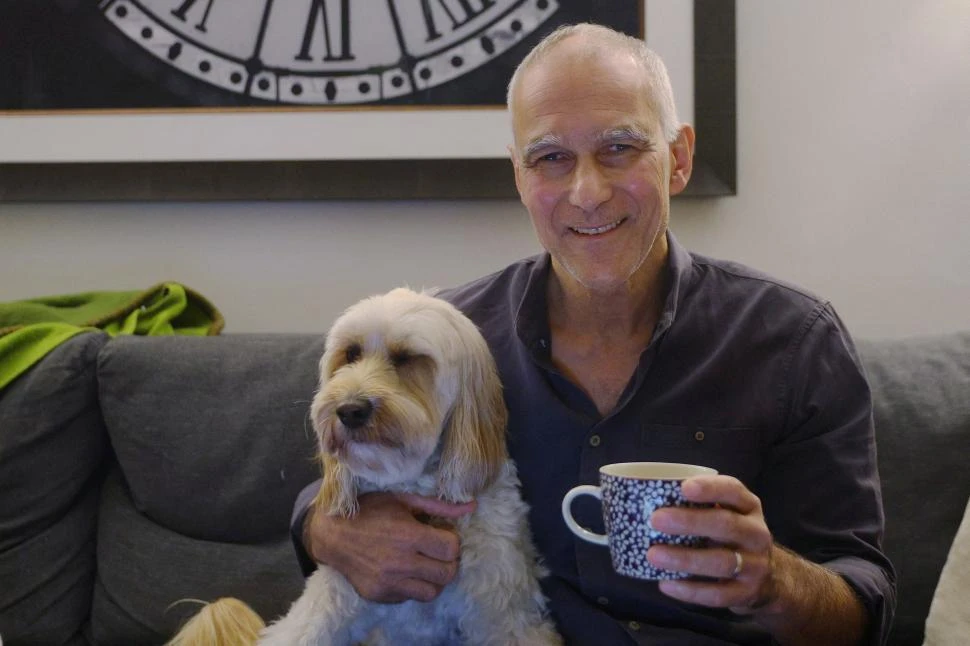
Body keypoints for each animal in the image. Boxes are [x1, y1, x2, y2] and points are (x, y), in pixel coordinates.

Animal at [166, 292, 560, 644]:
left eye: (408, 358)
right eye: (351, 353)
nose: (350, 410)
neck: (410, 485)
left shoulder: (506, 613)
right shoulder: (333, 599)